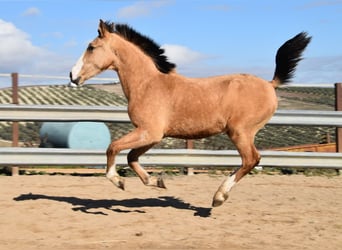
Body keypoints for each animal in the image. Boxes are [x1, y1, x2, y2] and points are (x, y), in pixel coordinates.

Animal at [69, 20, 310, 207]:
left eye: (91, 47)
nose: (72, 75)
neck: (148, 84)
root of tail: (270, 84)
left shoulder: (149, 132)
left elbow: (113, 148)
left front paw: (118, 181)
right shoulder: (154, 136)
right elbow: (131, 157)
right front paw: (156, 182)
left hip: (240, 132)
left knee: (251, 159)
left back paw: (218, 197)